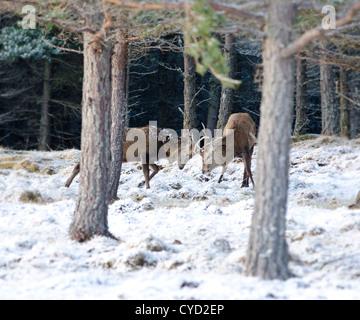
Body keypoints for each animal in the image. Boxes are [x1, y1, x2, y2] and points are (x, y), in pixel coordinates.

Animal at [64, 126, 194, 189]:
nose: (182, 167)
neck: (160, 147)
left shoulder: (150, 157)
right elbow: (146, 171)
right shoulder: (144, 154)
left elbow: (156, 169)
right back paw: (66, 184)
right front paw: (147, 187)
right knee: (78, 166)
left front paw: (140, 184)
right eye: (186, 154)